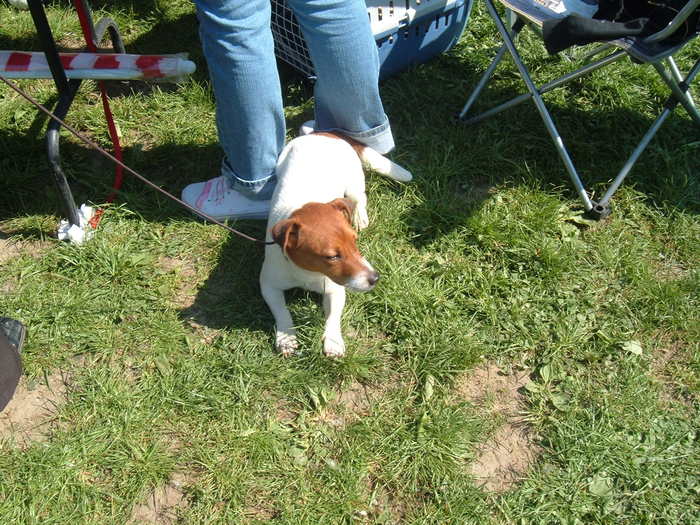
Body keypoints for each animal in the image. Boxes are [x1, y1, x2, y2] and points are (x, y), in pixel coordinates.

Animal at [258, 131, 410, 356]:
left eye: (355, 242)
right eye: (332, 256)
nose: (375, 278)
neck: (309, 273)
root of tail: (323, 132)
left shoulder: (335, 290)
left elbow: (332, 318)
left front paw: (333, 341)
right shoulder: (269, 285)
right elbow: (282, 311)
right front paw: (286, 337)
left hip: (354, 180)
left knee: (359, 198)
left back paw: (359, 216)